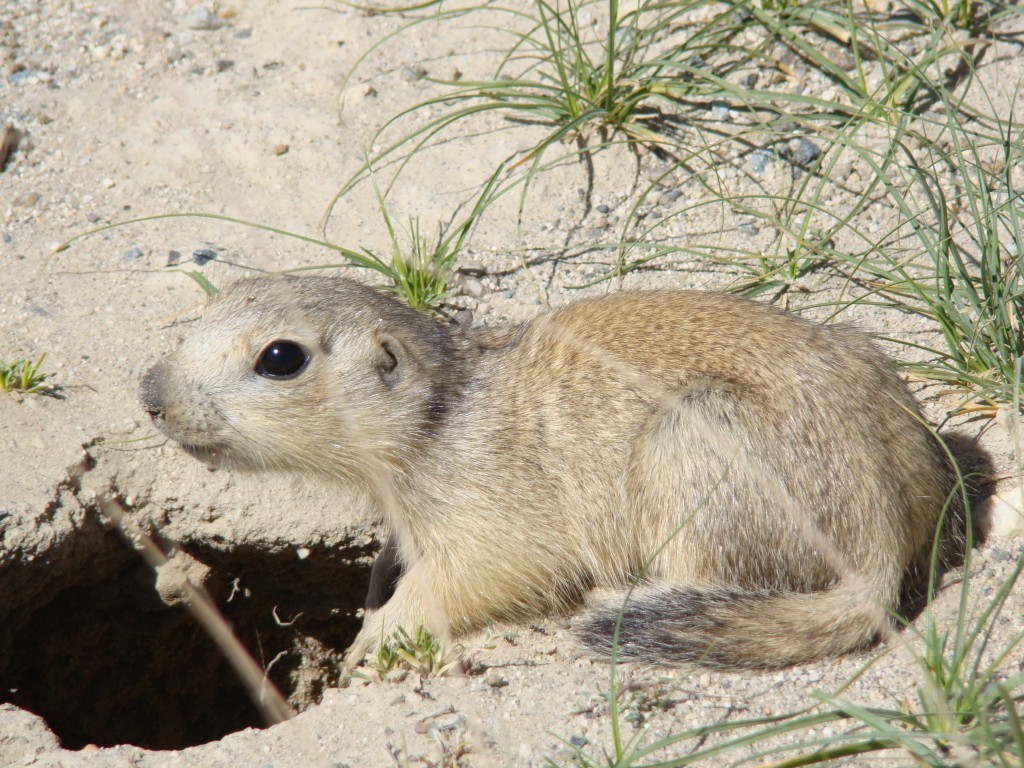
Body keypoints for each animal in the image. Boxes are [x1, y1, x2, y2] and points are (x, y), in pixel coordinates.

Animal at [141, 274, 963, 669]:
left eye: (281, 357)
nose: (150, 393)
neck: (442, 414)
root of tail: (882, 543)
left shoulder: (485, 500)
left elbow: (482, 571)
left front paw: (375, 638)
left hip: (692, 448)